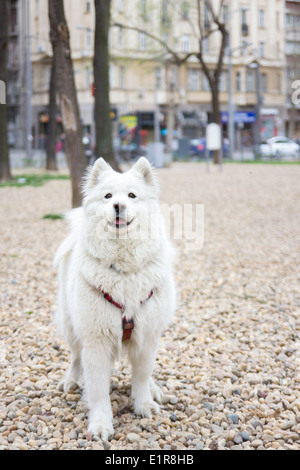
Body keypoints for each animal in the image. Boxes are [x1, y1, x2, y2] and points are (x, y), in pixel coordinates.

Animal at [54, 158, 176, 440]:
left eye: (131, 196)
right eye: (108, 196)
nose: (118, 206)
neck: (123, 269)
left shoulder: (147, 335)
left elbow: (141, 376)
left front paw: (144, 404)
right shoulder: (96, 340)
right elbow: (98, 390)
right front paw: (100, 424)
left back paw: (154, 389)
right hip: (71, 325)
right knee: (75, 356)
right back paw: (71, 380)